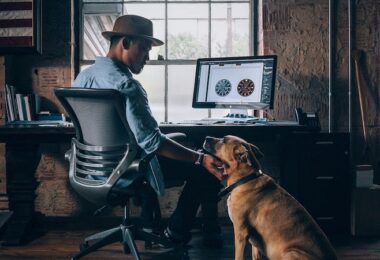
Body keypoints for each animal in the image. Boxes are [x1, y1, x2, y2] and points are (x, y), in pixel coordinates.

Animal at [203, 135, 336, 258]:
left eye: (223, 141)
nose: (206, 137)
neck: (246, 179)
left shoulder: (241, 233)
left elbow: (238, 256)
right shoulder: (254, 245)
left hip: (290, 253)